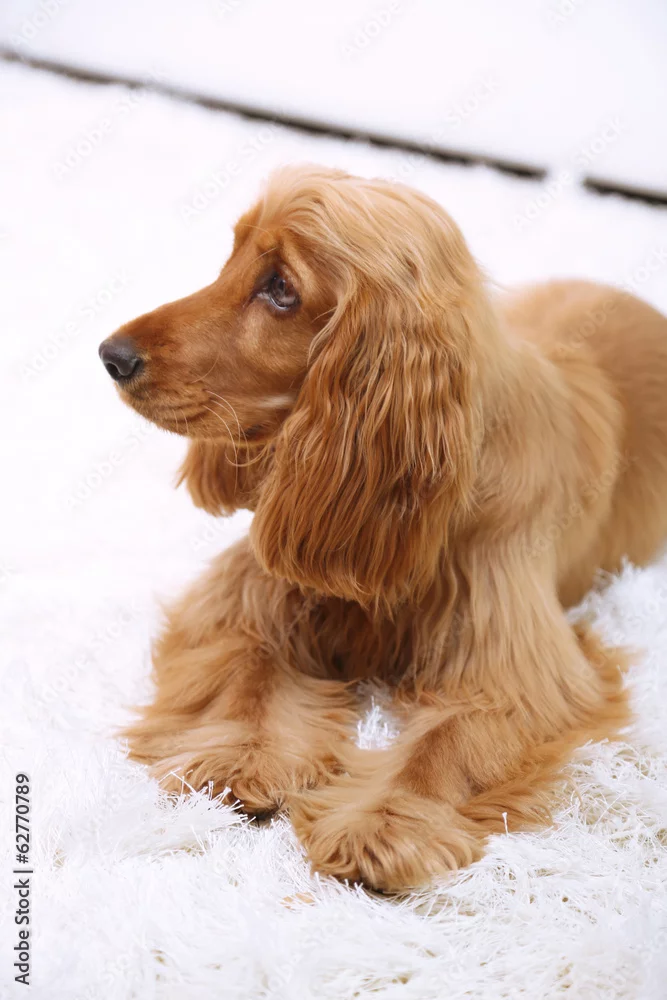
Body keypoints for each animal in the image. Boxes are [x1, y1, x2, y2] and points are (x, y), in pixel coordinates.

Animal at [99, 165, 667, 891]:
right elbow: (248, 674)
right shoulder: (251, 597)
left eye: (281, 288)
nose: (112, 355)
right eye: (232, 257)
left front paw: (385, 824)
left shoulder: (516, 667)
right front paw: (238, 757)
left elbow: (446, 746)